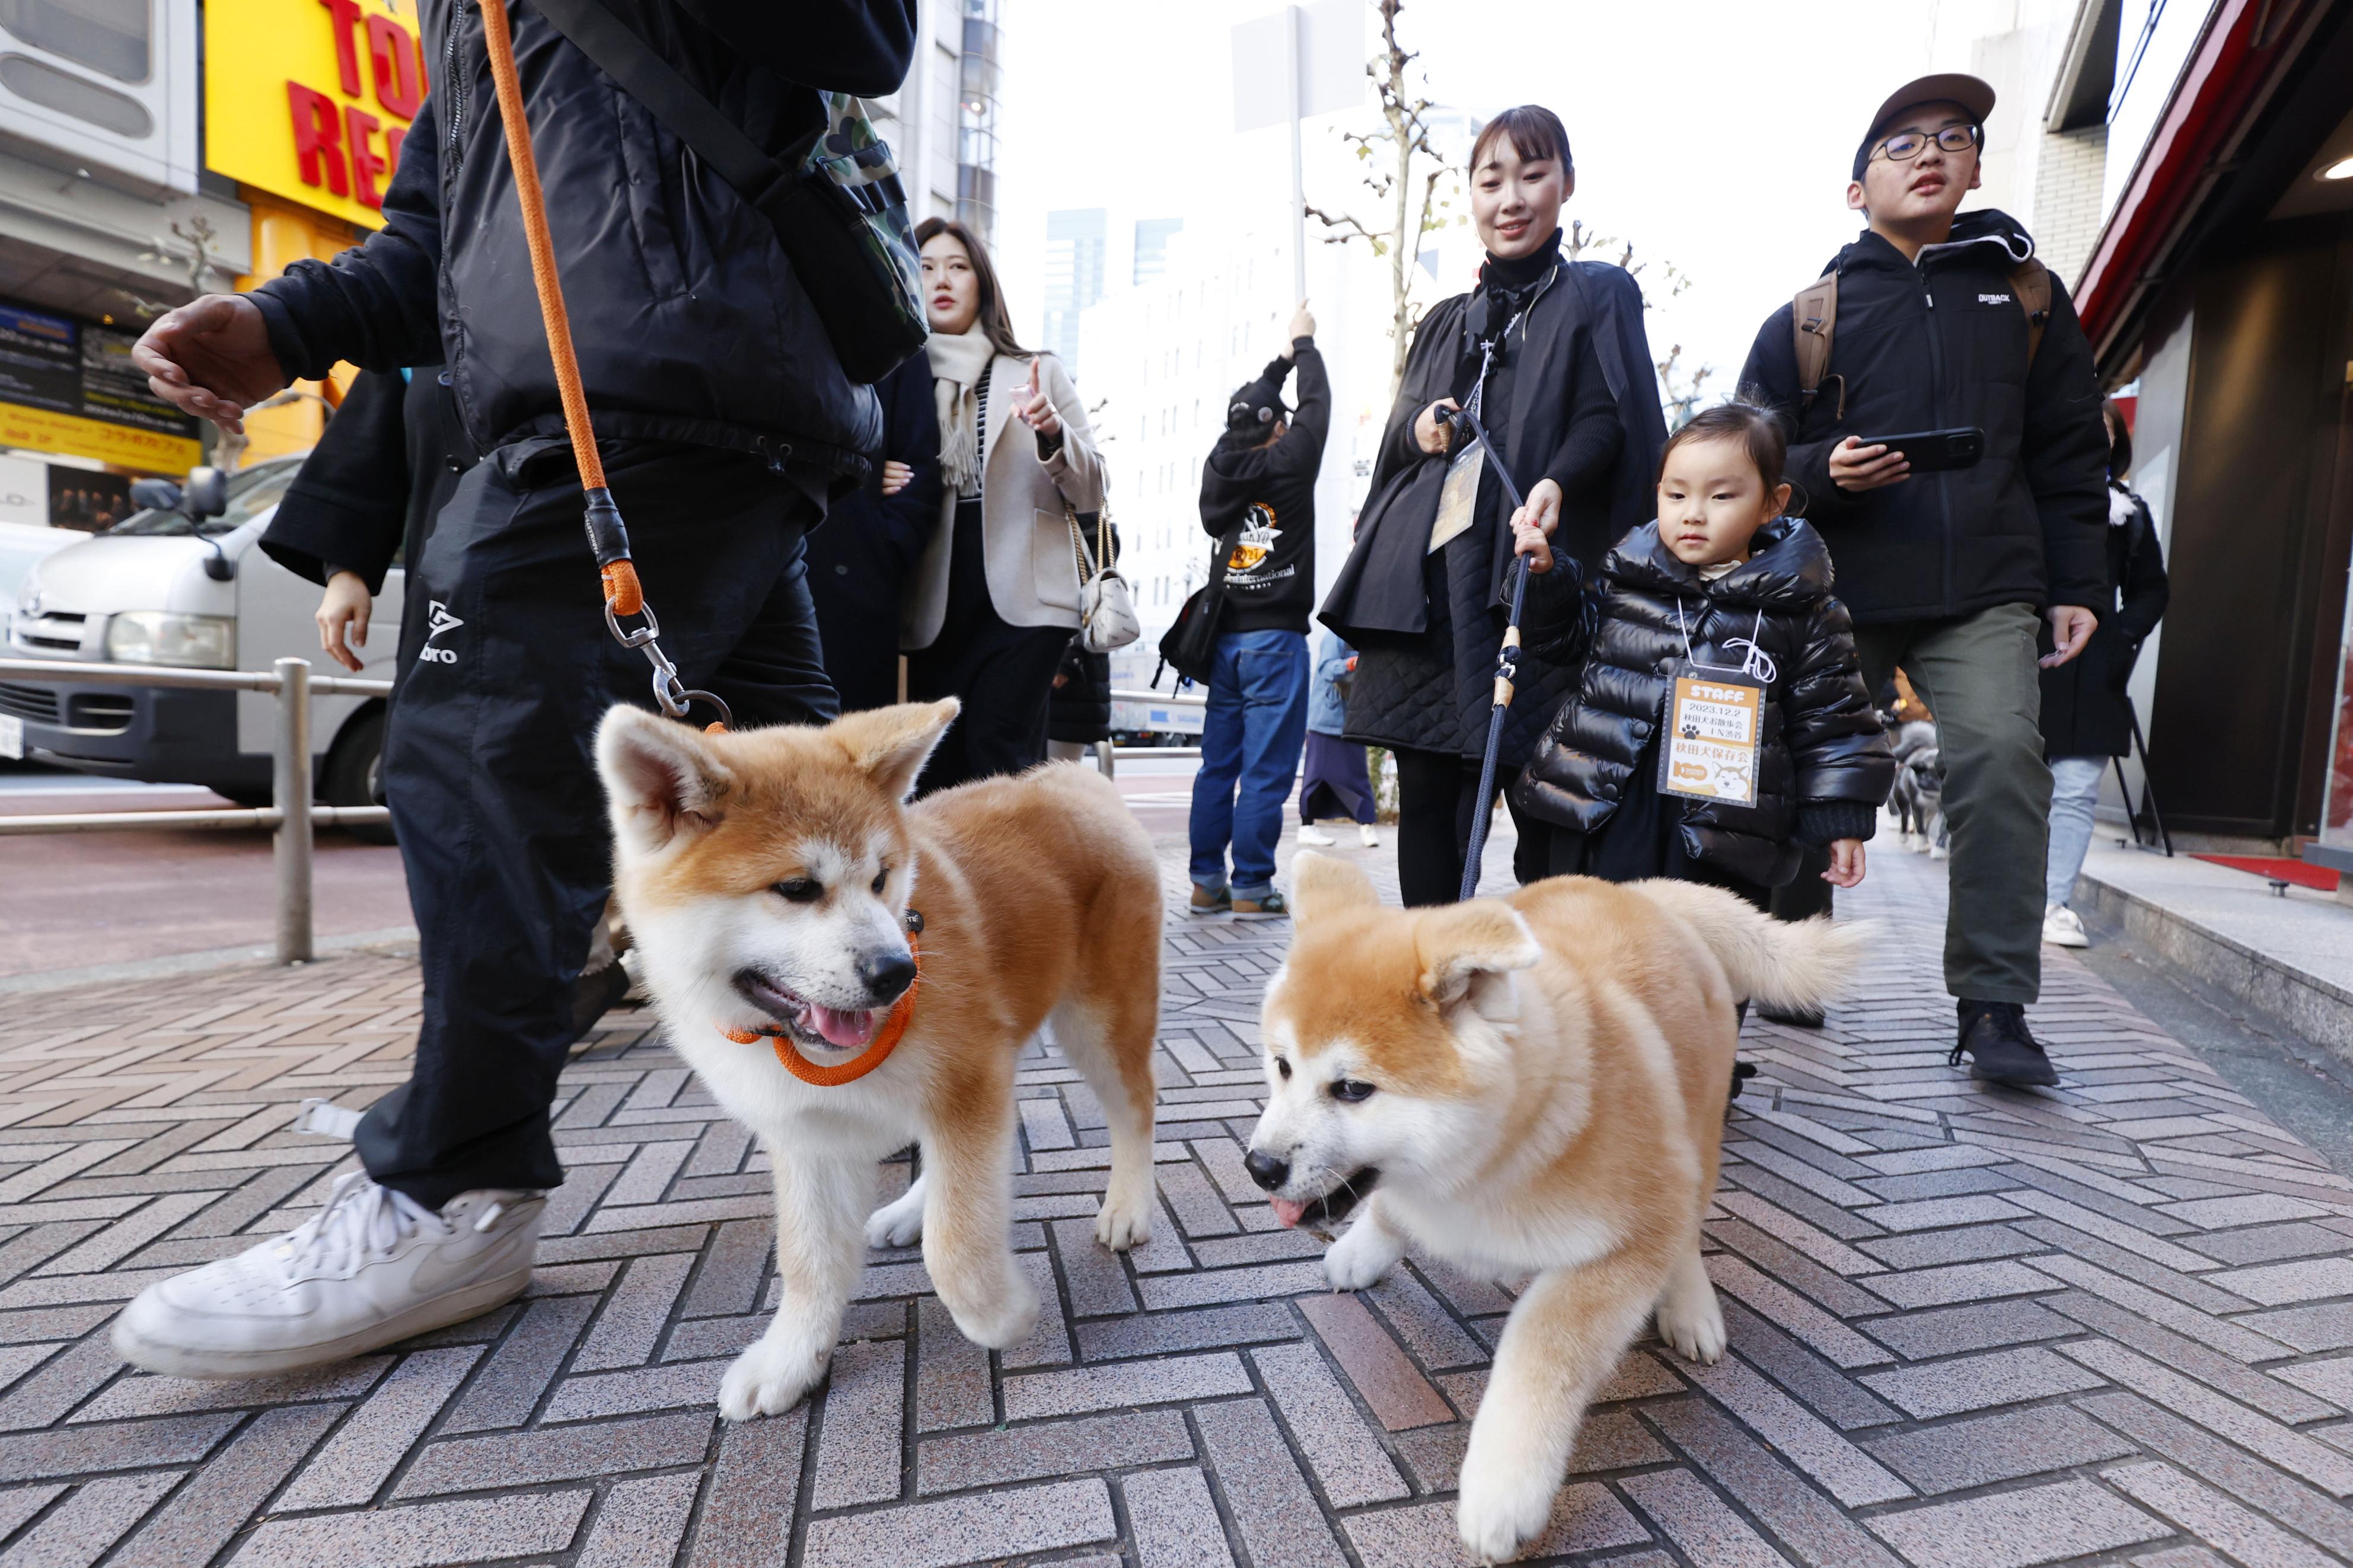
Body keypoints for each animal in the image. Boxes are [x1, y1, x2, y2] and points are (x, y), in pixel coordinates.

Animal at [602, 705, 1162, 1429]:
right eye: (796, 888)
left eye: (880, 878)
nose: (900, 973)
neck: (798, 1046)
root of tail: (1073, 778)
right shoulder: (809, 1133)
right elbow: (808, 1259)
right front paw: (791, 1358)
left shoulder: (967, 1078)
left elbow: (954, 1244)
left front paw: (1001, 1314)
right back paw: (910, 1209)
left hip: (1099, 1022)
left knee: (1135, 1109)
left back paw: (1127, 1205)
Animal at [1242, 851, 1863, 1561]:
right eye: (1282, 1065)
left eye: (1351, 1089)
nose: (1259, 1167)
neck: (1497, 1149)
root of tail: (1648, 894)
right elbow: (1394, 1207)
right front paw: (1362, 1248)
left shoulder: (1629, 1237)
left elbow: (1540, 1353)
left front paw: (1502, 1489)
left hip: (1697, 1129)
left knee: (1687, 1221)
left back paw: (1690, 1307)